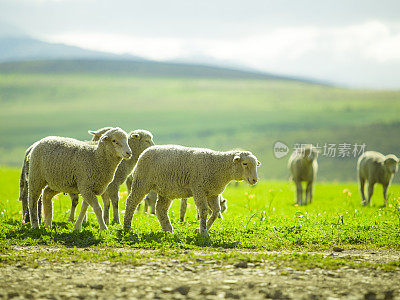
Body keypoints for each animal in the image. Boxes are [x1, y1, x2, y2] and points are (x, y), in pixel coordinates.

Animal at [122, 145, 260, 237]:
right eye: (245, 163)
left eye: (255, 164)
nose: (254, 180)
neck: (219, 167)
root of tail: (145, 151)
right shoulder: (198, 188)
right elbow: (204, 211)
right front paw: (204, 233)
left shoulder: (213, 193)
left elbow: (216, 212)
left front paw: (200, 230)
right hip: (142, 181)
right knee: (131, 202)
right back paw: (127, 227)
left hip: (165, 190)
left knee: (160, 209)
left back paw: (168, 230)